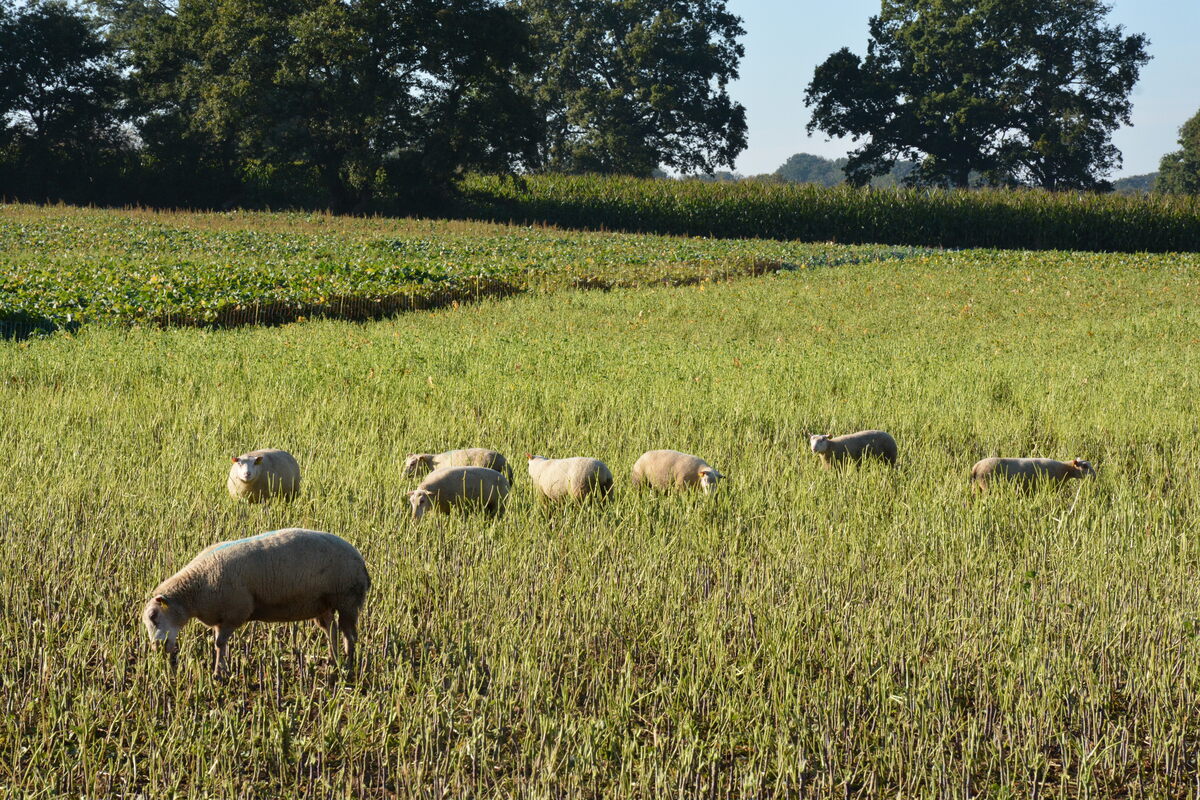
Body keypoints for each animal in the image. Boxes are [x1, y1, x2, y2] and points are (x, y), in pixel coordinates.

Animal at [140, 527, 367, 681]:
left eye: (154, 616)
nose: (156, 647)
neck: (194, 589)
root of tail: (360, 560)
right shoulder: (220, 617)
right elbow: (219, 643)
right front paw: (222, 669)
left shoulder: (234, 612)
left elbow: (219, 643)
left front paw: (219, 673)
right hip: (323, 603)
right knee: (331, 629)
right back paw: (333, 659)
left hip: (347, 600)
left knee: (349, 635)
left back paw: (348, 665)